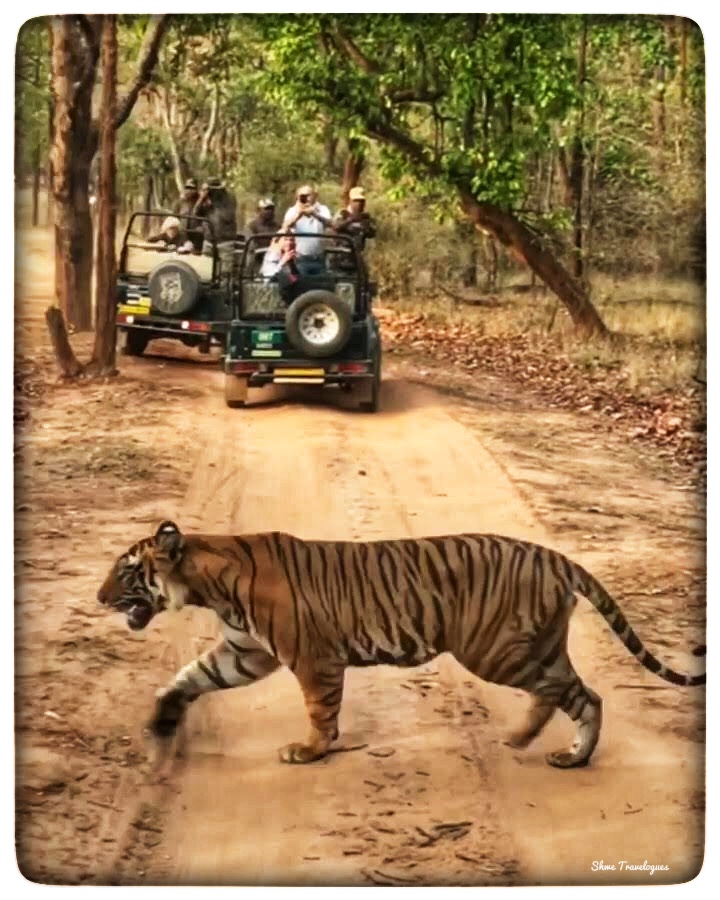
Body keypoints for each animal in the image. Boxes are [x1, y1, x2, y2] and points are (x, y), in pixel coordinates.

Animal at [98, 520, 704, 768]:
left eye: (128, 570)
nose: (100, 596)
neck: (210, 585)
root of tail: (555, 556)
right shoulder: (245, 653)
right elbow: (190, 677)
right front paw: (160, 721)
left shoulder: (312, 658)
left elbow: (321, 711)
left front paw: (310, 751)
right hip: (539, 646)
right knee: (587, 696)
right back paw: (569, 756)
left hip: (496, 650)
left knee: (558, 691)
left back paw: (523, 737)